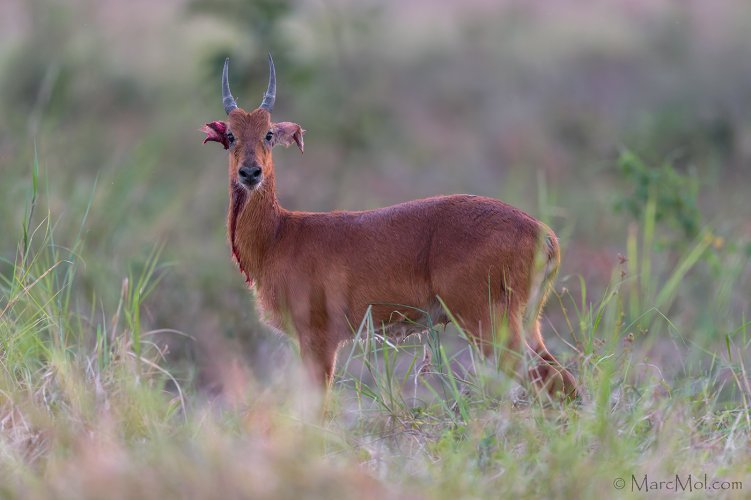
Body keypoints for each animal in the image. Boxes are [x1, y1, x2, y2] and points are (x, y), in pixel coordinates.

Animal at [203, 55, 580, 398]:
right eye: (231, 135)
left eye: (268, 134)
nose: (250, 172)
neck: (279, 236)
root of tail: (543, 234)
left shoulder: (319, 337)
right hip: (526, 323)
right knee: (564, 381)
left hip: (489, 323)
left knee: (549, 381)